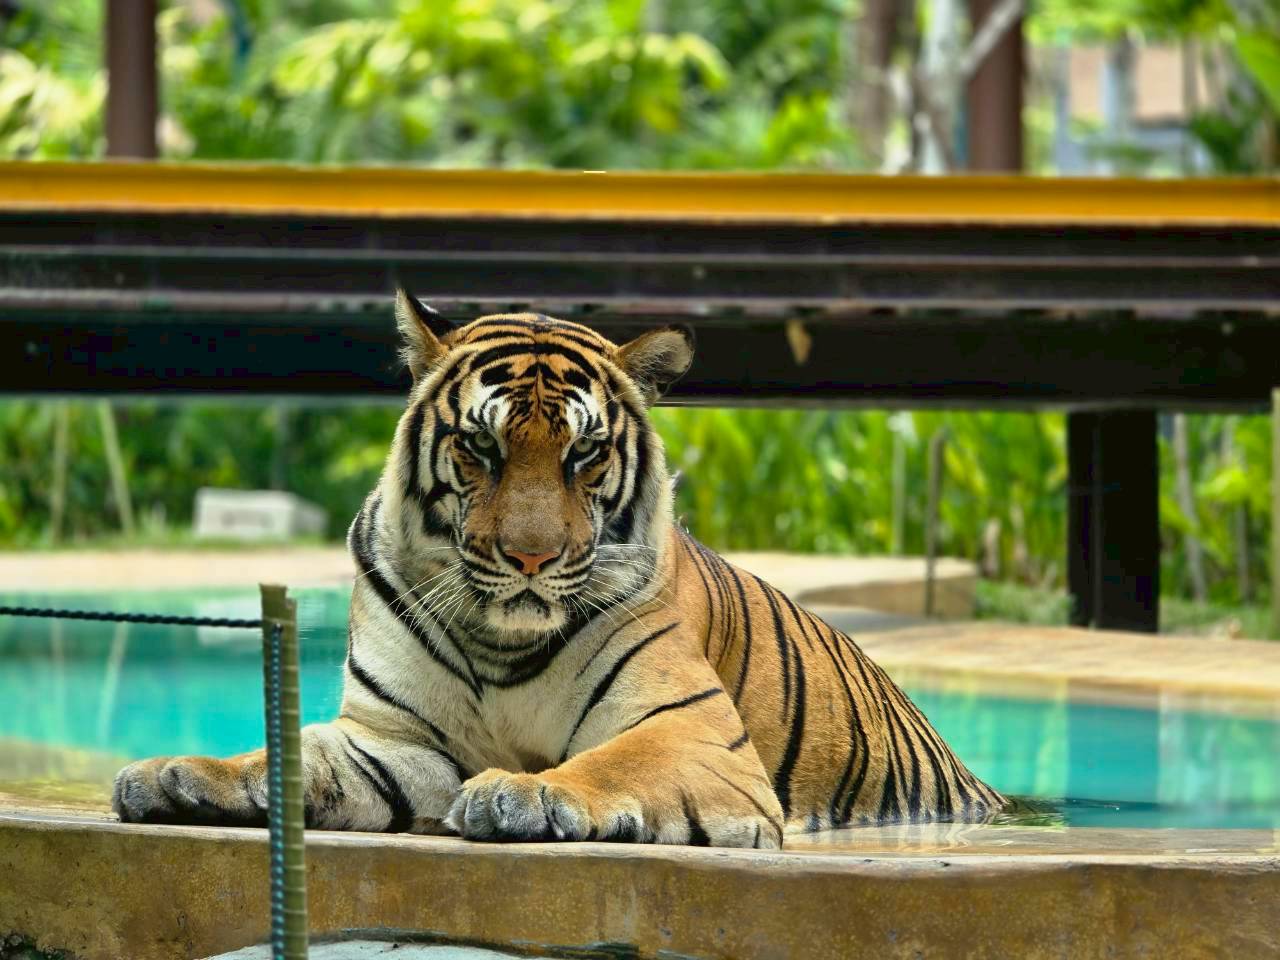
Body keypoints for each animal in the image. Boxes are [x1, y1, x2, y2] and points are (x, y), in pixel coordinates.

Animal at [112, 290, 1005, 848]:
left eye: (584, 453)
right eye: (481, 447)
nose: (531, 557)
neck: (496, 643)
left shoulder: (693, 732)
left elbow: (614, 759)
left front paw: (527, 792)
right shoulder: (393, 738)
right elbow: (291, 749)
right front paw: (178, 776)